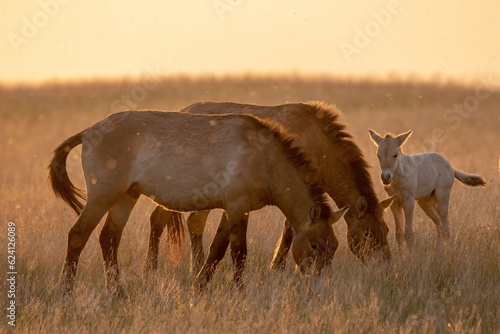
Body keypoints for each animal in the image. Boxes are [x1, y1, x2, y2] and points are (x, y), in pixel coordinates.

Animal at [49, 109, 348, 294]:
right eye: (314, 245)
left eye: (334, 247)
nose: (321, 288)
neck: (264, 157)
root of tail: (89, 131)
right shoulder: (237, 207)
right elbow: (239, 253)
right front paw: (239, 292)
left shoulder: (233, 210)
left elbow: (217, 250)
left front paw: (199, 287)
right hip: (103, 196)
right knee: (78, 235)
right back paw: (66, 293)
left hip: (126, 196)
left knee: (109, 238)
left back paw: (118, 293)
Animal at [146, 102, 396, 274]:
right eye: (367, 234)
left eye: (386, 231)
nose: (384, 267)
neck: (317, 142)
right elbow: (288, 230)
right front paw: (278, 266)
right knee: (163, 220)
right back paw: (157, 267)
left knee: (188, 222)